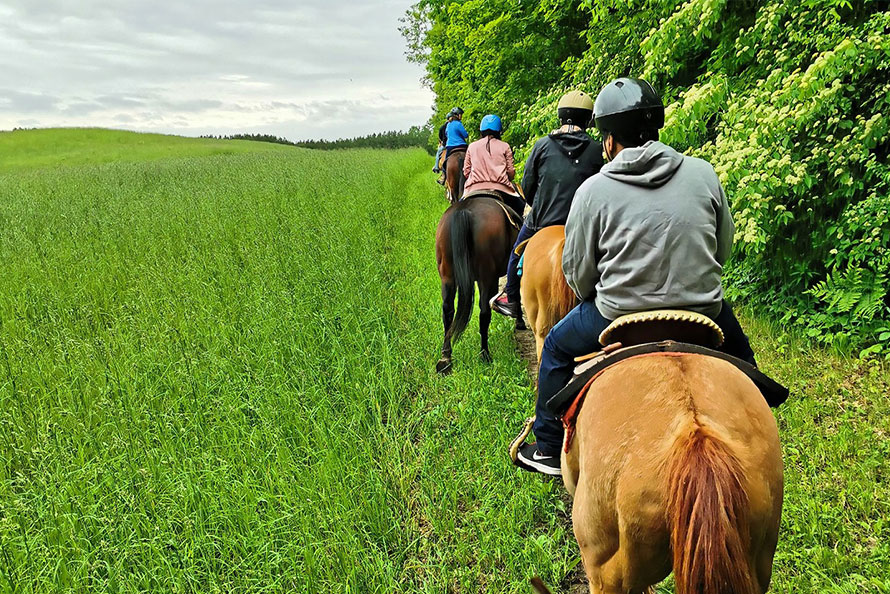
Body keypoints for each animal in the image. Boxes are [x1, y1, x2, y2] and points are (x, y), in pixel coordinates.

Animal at [434, 194, 516, 370]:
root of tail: (463, 210)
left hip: (447, 275)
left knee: (447, 310)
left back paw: (445, 358)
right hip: (487, 276)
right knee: (484, 312)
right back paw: (485, 355)